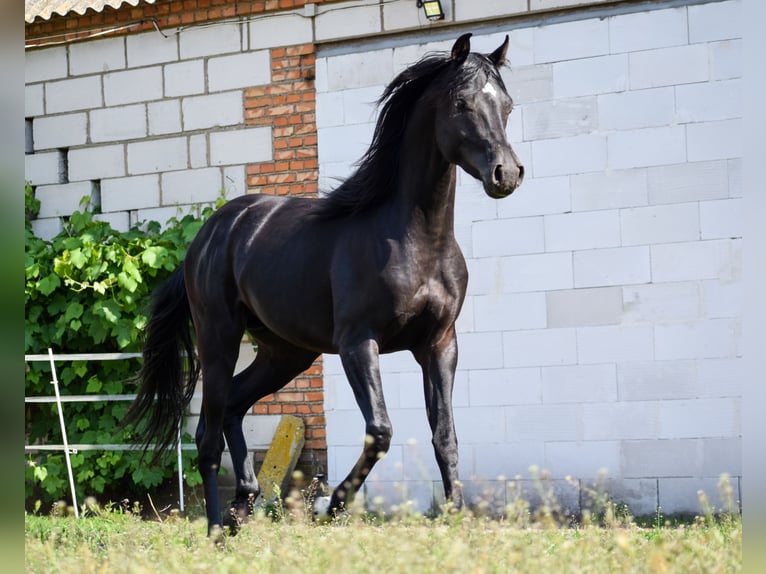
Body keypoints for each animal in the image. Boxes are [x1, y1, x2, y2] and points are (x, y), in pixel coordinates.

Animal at [123, 31, 524, 536]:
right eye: (461, 103)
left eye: (506, 105)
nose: (506, 174)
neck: (415, 239)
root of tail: (210, 235)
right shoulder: (358, 344)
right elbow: (380, 431)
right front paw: (333, 506)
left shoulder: (439, 344)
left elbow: (445, 435)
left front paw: (458, 520)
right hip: (219, 339)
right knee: (208, 435)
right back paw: (216, 529)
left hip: (286, 353)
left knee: (233, 406)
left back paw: (243, 506)